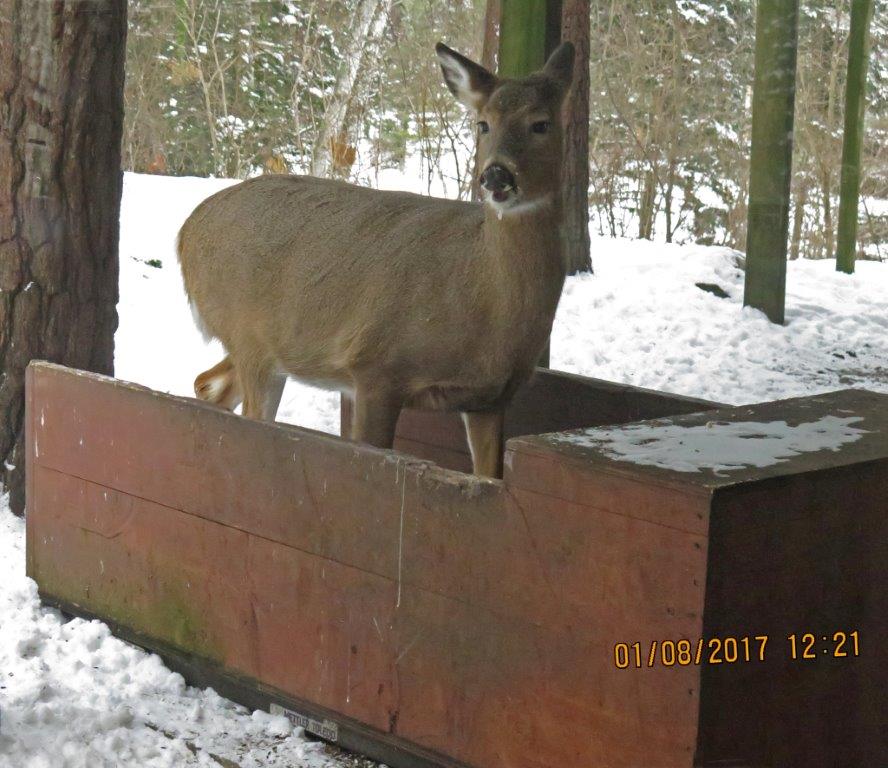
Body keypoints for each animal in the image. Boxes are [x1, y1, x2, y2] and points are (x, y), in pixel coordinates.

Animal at [177, 41, 575, 478]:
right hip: (249, 336)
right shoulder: (374, 367)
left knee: (207, 386)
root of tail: (187, 232)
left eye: (541, 123)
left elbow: (488, 476)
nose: (496, 176)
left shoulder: (491, 397)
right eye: (483, 124)